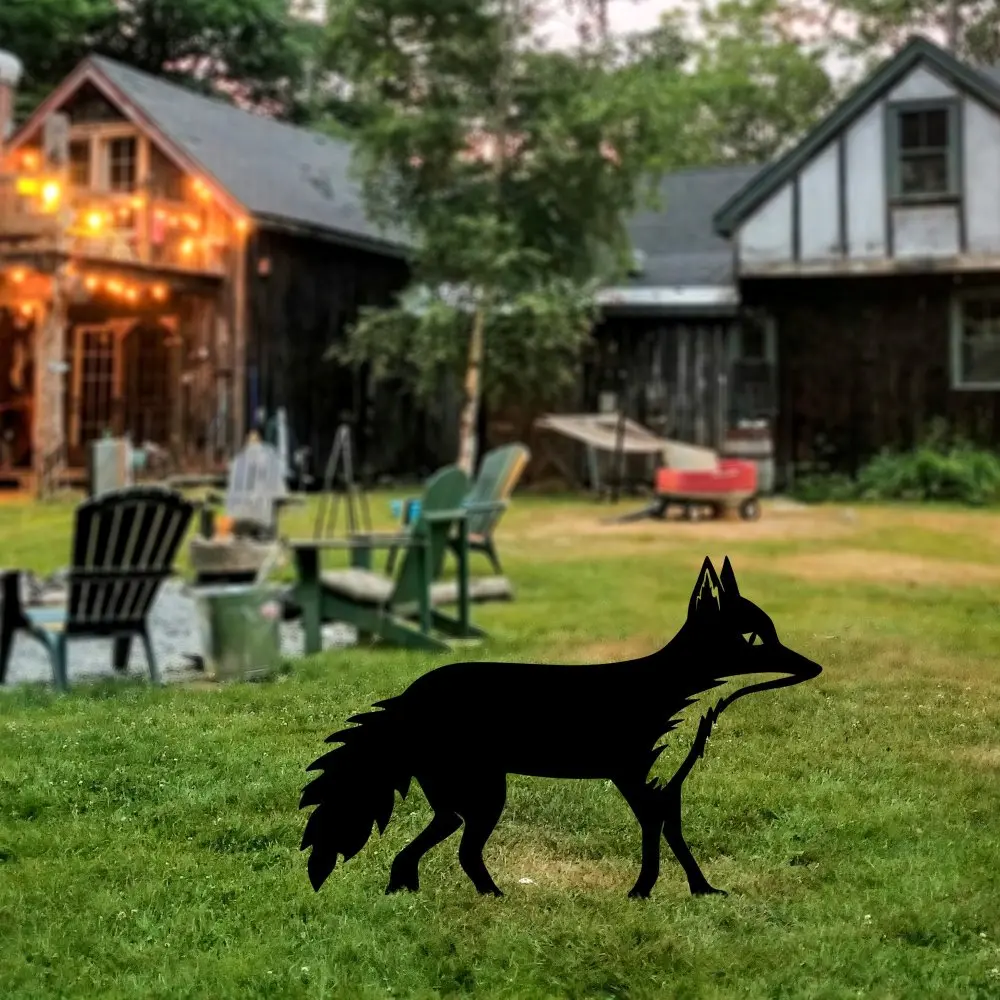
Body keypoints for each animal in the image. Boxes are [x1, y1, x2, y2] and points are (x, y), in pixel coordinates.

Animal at [299, 555, 822, 899]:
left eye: (774, 633)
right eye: (754, 638)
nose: (816, 668)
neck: (676, 699)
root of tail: (410, 696)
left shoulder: (667, 788)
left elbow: (676, 840)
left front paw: (701, 891)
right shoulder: (636, 781)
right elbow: (653, 841)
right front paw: (641, 893)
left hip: (464, 799)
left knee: (440, 843)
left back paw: (405, 888)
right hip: (485, 797)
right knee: (465, 851)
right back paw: (493, 899)